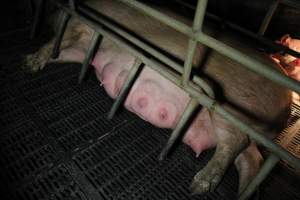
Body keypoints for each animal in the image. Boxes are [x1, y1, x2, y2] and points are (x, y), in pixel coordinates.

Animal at [25, 0, 292, 195]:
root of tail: (287, 101)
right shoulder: (85, 52)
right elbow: (63, 53)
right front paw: (30, 64)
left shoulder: (85, 23)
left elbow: (58, 40)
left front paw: (30, 62)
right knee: (252, 157)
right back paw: (244, 192)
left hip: (235, 105)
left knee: (235, 141)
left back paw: (199, 185)